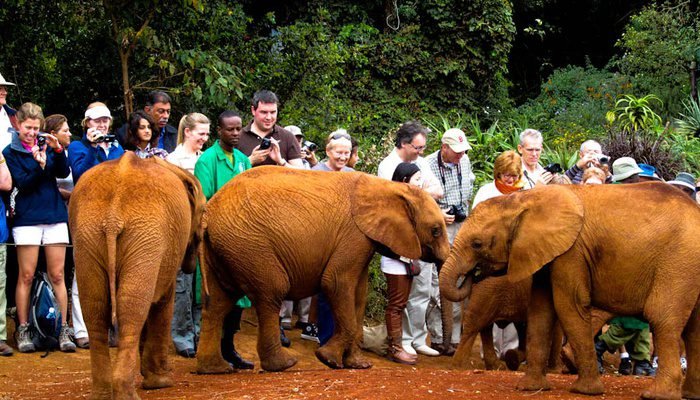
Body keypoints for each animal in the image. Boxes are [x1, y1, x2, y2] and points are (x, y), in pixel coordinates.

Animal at [69, 153, 205, 400]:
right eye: (203, 212)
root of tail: (112, 217)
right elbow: (163, 302)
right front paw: (160, 383)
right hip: (145, 237)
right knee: (132, 311)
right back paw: (127, 394)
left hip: (87, 237)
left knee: (96, 309)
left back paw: (103, 393)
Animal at [196, 166, 450, 373]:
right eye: (436, 230)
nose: (444, 350)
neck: (390, 187)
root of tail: (209, 211)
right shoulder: (354, 234)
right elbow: (336, 283)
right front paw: (327, 359)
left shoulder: (363, 241)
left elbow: (359, 295)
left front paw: (358, 365)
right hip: (249, 245)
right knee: (272, 293)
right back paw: (283, 365)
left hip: (226, 247)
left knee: (217, 303)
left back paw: (215, 369)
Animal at [439, 182, 700, 400]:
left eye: (477, 244)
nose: (472, 274)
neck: (524, 199)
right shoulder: (547, 252)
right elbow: (541, 311)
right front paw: (530, 388)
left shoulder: (571, 253)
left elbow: (568, 306)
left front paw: (585, 391)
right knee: (692, 330)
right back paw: (688, 394)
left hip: (678, 263)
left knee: (663, 319)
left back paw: (657, 395)